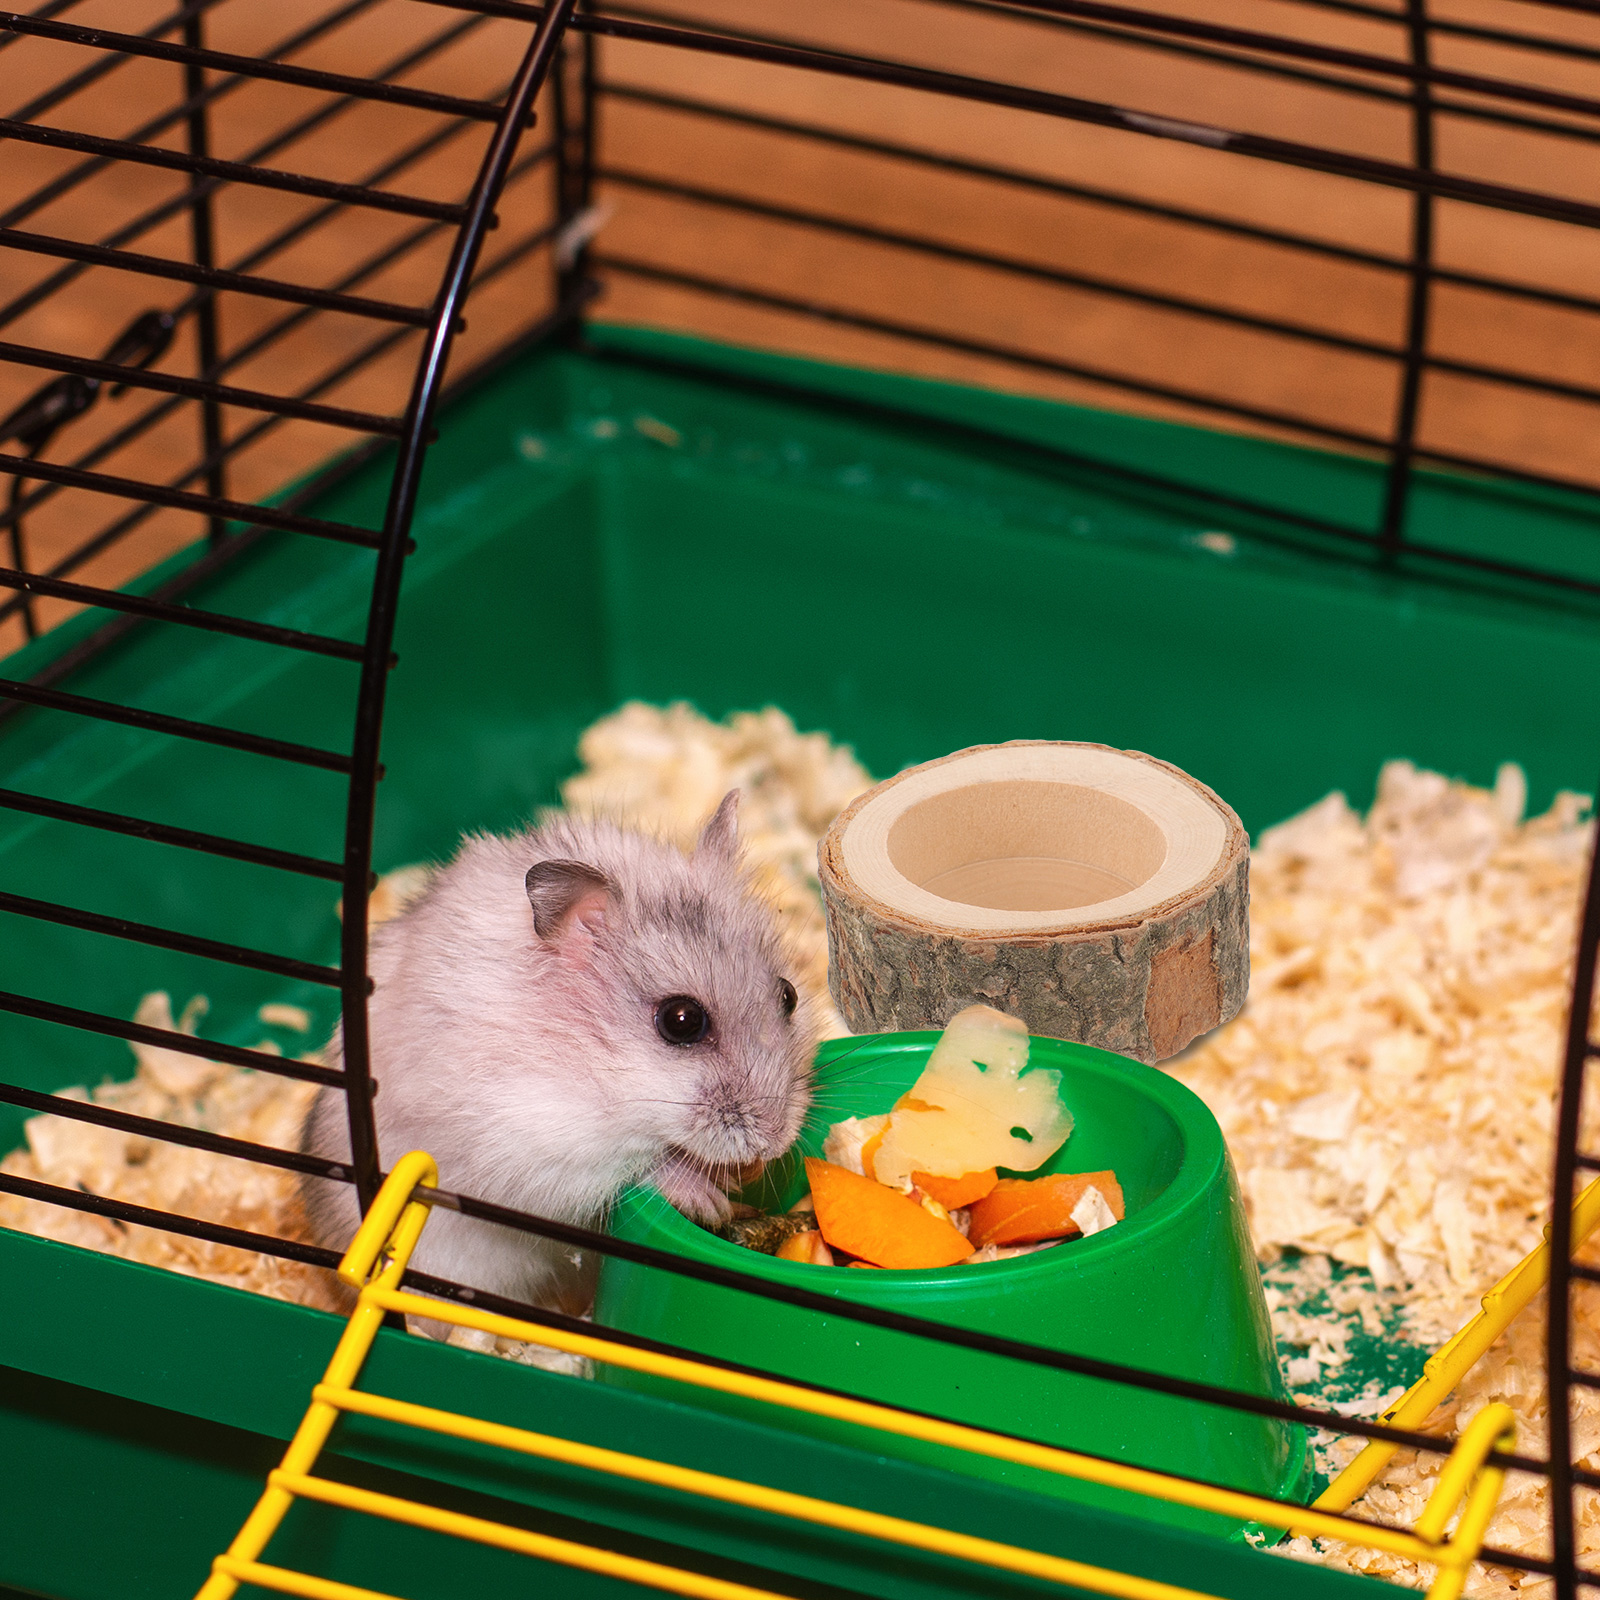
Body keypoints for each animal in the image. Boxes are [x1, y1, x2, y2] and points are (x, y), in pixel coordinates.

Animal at [300, 790, 818, 1313]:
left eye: (789, 994)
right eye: (681, 1021)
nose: (775, 1141)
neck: (589, 1058)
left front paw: (747, 1175)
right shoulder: (535, 1140)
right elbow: (639, 1166)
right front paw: (710, 1199)